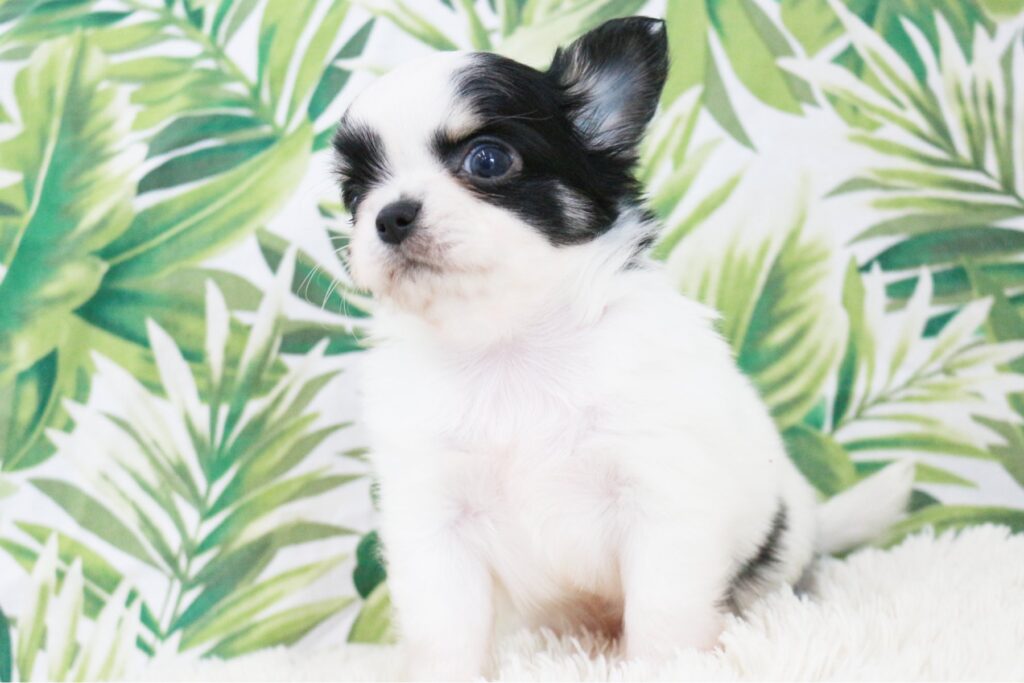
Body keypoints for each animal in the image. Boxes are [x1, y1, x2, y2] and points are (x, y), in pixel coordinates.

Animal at [332, 16, 914, 680]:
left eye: (488, 160)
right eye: (356, 194)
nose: (390, 215)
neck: (510, 344)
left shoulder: (660, 501)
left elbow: (662, 616)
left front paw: (666, 667)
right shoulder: (434, 519)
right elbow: (445, 630)